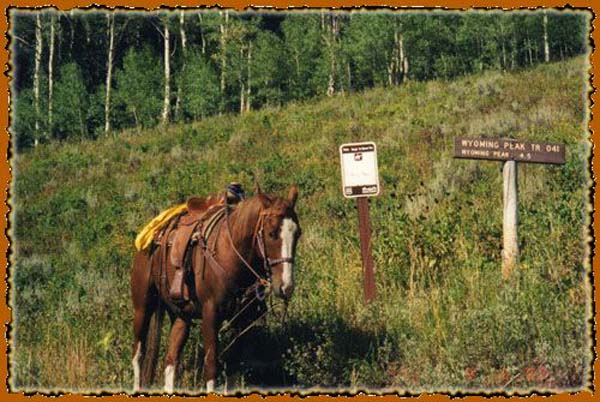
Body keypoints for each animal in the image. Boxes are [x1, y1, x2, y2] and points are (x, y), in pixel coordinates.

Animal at [131, 185, 300, 392]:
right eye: (271, 233)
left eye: (297, 234)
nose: (286, 286)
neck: (230, 253)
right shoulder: (210, 315)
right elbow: (211, 366)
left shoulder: (243, 319)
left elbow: (233, 365)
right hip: (143, 307)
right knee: (138, 354)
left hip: (181, 315)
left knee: (171, 359)